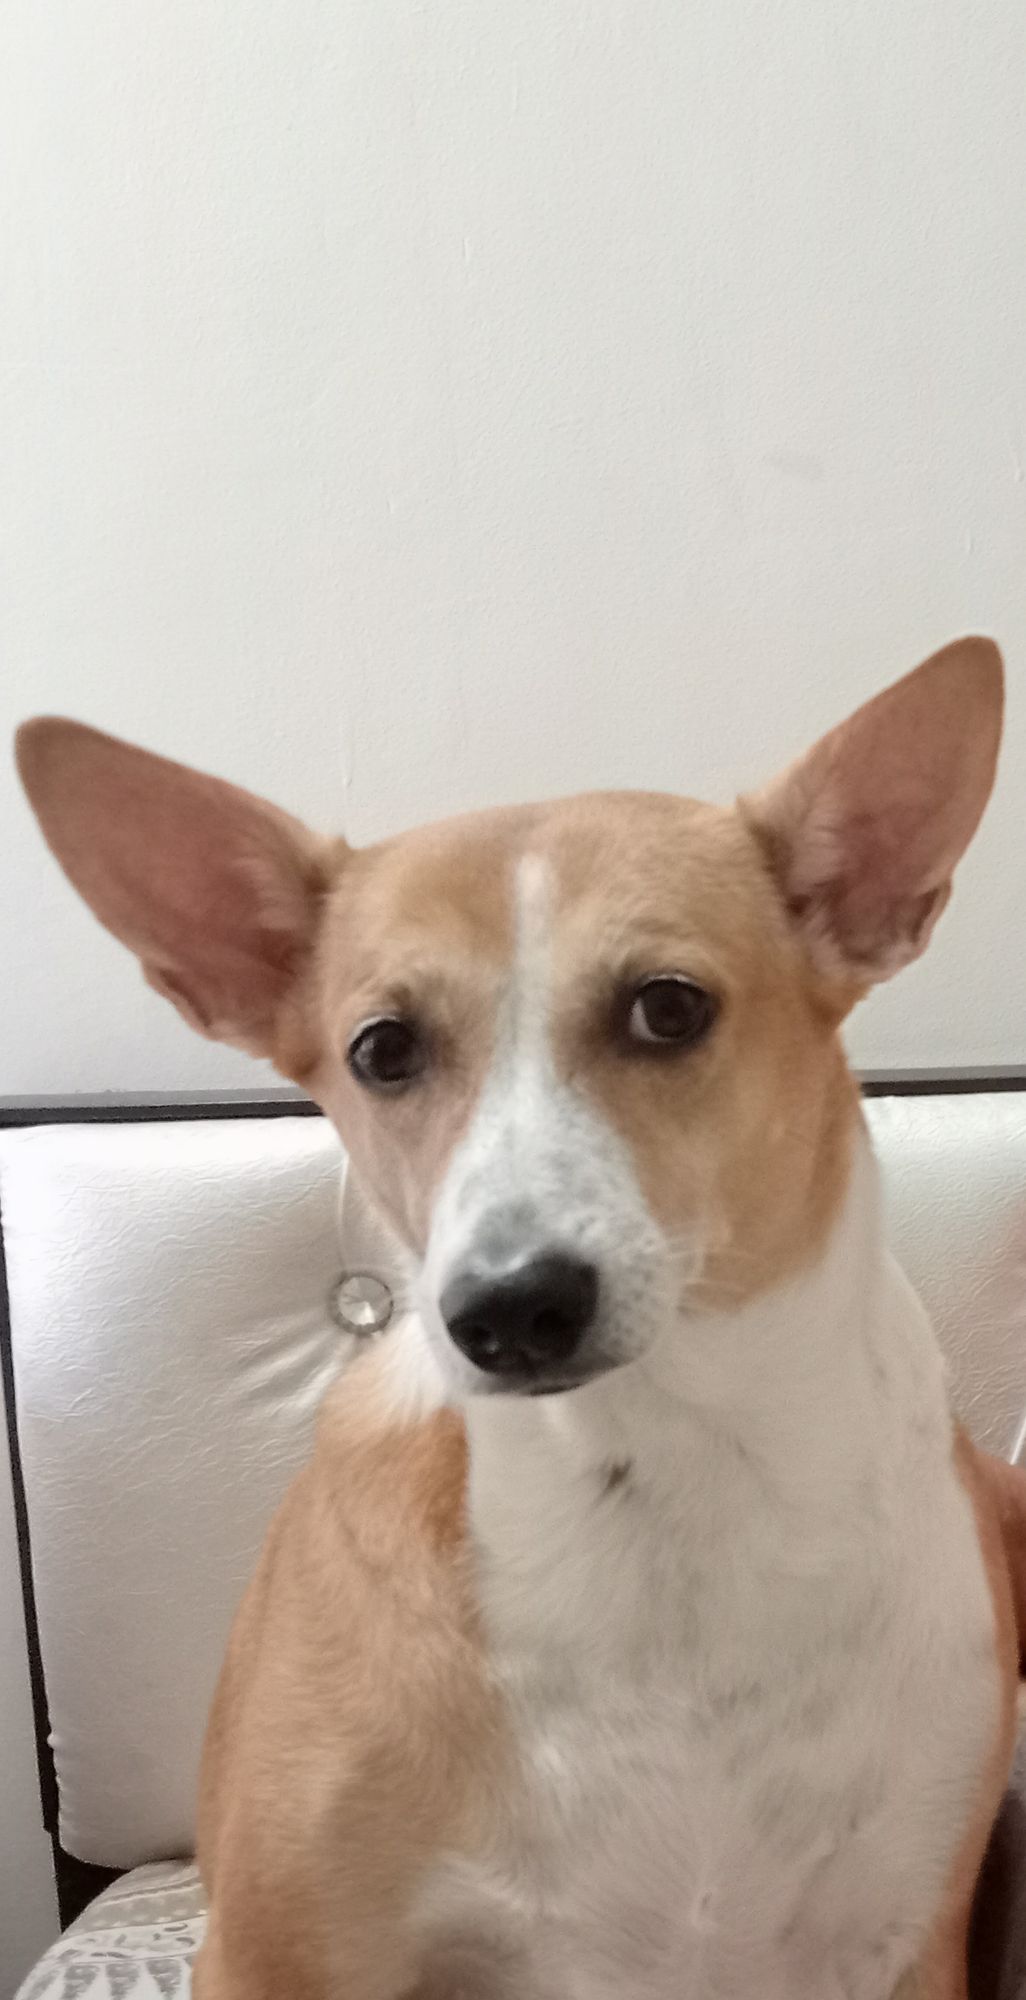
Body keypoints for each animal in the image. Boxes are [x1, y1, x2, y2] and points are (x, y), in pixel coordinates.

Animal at [14, 644, 1016, 2000]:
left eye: (667, 1006)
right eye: (382, 1048)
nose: (514, 1305)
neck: (653, 1484)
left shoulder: (900, 1942)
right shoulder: (267, 1953)